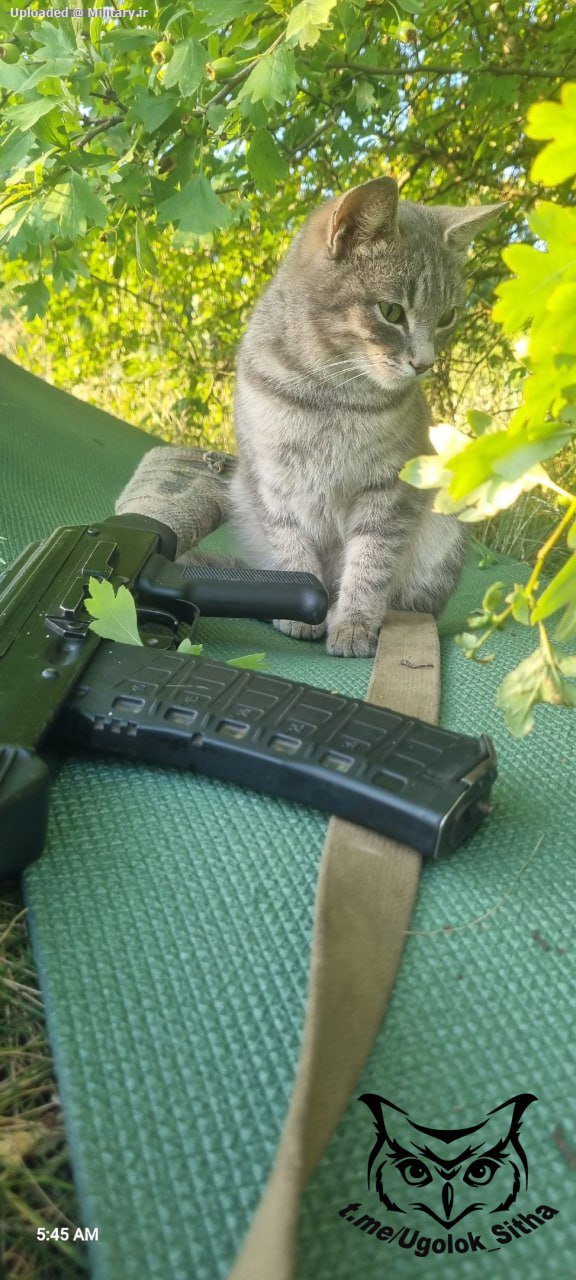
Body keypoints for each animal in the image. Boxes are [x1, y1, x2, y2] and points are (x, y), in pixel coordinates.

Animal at [229, 177, 504, 660]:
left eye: (447, 317)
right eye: (391, 311)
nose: (425, 364)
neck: (329, 395)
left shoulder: (391, 489)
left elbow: (371, 564)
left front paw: (354, 624)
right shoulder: (269, 483)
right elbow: (291, 552)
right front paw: (299, 612)